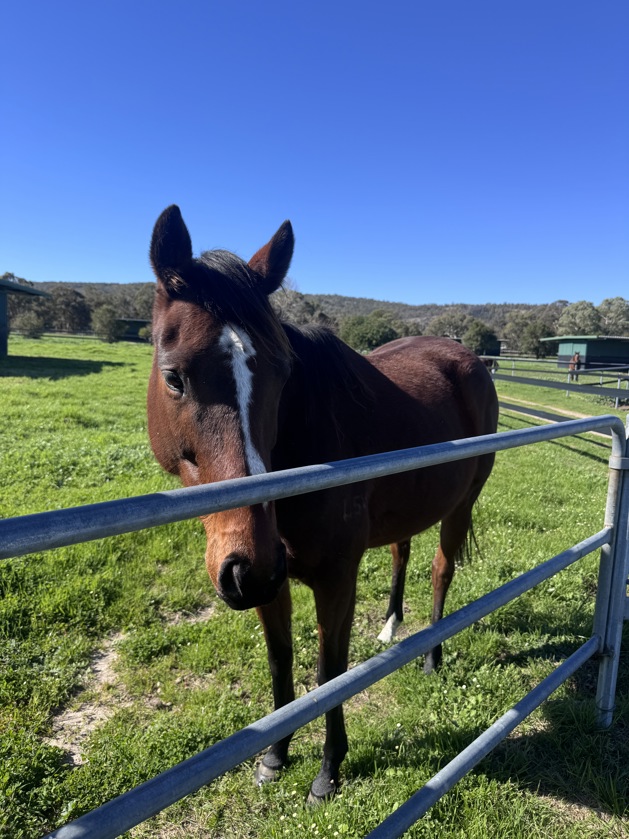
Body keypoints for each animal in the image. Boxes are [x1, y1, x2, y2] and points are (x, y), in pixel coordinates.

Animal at [147, 205, 499, 803]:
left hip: (461, 507)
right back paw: (391, 627)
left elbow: (328, 673)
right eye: (174, 377)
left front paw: (328, 770)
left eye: (284, 374)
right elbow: (280, 661)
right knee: (403, 553)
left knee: (440, 570)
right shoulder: (272, 586)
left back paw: (431, 657)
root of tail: (466, 355)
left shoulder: (336, 580)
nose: (248, 566)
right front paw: (274, 756)